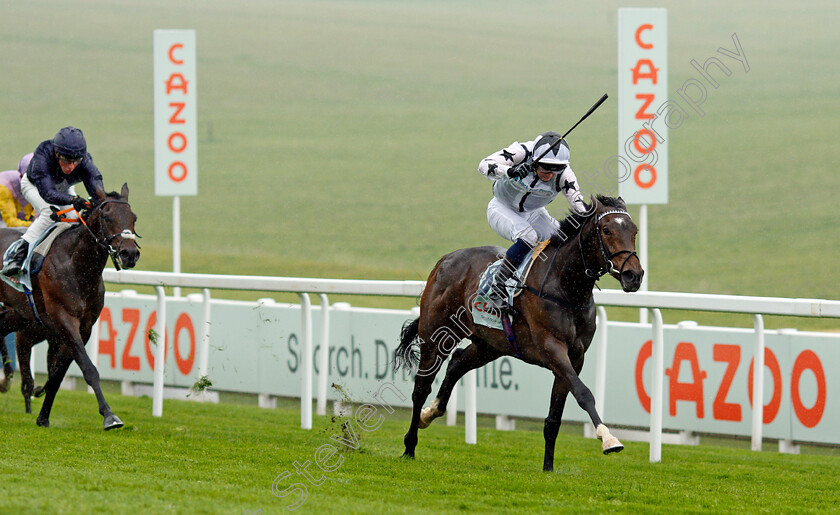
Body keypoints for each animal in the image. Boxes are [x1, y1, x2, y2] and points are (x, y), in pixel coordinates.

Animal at [0, 185, 139, 432]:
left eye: (134, 218)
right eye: (106, 216)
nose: (129, 253)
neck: (77, 266)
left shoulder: (84, 327)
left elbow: (58, 374)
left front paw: (43, 416)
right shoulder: (65, 319)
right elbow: (88, 368)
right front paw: (109, 416)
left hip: (20, 314)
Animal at [394, 197, 644, 472]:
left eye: (634, 231)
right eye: (607, 230)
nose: (634, 275)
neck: (566, 287)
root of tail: (446, 259)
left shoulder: (575, 356)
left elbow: (554, 417)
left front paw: (548, 468)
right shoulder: (552, 348)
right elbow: (584, 393)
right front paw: (608, 438)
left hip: (489, 344)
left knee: (457, 362)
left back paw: (430, 414)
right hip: (436, 335)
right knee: (421, 387)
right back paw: (409, 445)